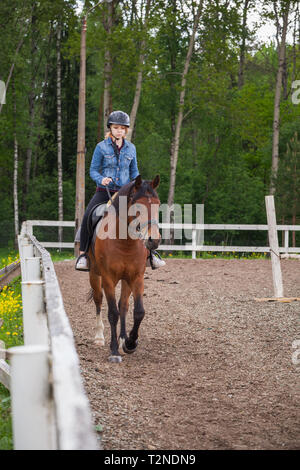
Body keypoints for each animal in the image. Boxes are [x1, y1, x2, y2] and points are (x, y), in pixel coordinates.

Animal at [88, 174, 161, 362]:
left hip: (126, 280)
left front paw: (130, 343)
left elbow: (138, 311)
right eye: (137, 207)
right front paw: (114, 351)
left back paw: (122, 339)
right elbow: (112, 313)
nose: (154, 240)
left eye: (157, 204)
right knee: (99, 301)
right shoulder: (107, 279)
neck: (124, 241)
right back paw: (99, 337)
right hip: (94, 275)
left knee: (123, 306)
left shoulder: (136, 277)